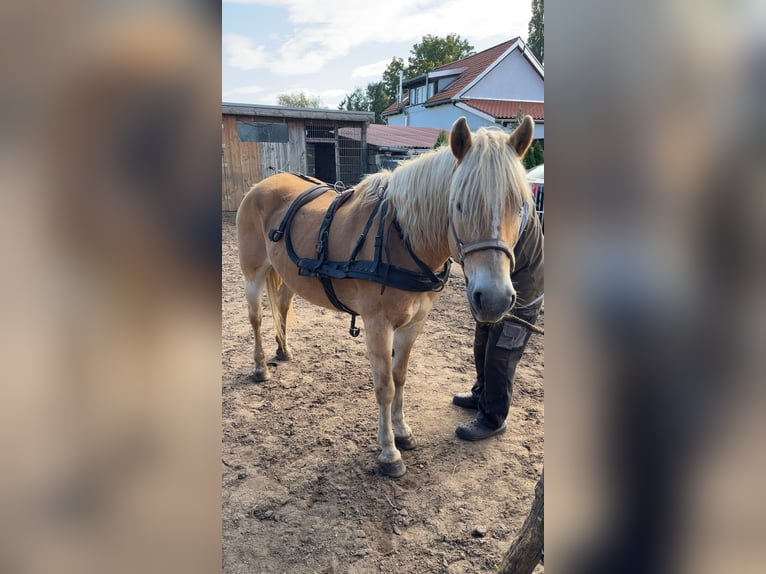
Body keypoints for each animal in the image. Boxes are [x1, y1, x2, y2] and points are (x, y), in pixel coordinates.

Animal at [236, 116, 535, 477]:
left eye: (519, 206)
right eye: (459, 204)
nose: (493, 298)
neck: (402, 238)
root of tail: (263, 184)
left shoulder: (414, 323)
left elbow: (400, 377)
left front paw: (402, 431)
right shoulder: (377, 324)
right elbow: (384, 386)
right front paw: (389, 451)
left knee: (281, 305)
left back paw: (283, 350)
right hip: (253, 272)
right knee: (256, 318)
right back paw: (260, 366)